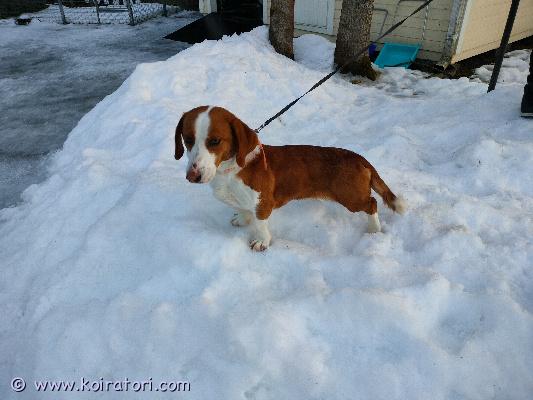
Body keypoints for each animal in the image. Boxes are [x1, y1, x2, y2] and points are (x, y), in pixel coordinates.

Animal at [174, 106, 406, 251]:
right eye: (188, 139)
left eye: (214, 141)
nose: (192, 176)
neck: (230, 171)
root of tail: (359, 158)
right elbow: (243, 210)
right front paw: (241, 219)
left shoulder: (263, 204)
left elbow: (260, 224)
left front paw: (261, 242)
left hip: (351, 198)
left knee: (372, 203)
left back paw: (374, 229)